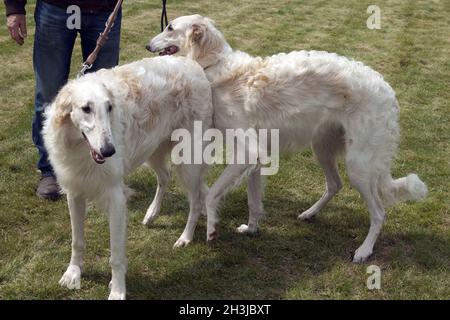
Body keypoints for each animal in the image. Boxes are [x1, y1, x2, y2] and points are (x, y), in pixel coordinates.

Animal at [43, 56, 212, 298]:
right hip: (154, 151)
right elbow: (77, 241)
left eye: (109, 107)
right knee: (169, 178)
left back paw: (185, 237)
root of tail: (190, 61)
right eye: (86, 108)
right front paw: (73, 273)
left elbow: (116, 255)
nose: (108, 151)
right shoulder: (75, 192)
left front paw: (117, 290)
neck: (79, 147)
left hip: (186, 159)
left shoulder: (115, 197)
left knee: (195, 199)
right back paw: (152, 214)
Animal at [148, 14, 428, 262]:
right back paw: (309, 214)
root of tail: (387, 90)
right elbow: (253, 200)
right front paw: (252, 228)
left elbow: (211, 195)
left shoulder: (248, 151)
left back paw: (364, 251)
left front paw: (212, 229)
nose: (147, 45)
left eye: (170, 27)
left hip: (358, 164)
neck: (213, 65)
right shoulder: (256, 158)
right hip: (323, 148)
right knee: (335, 184)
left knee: (379, 213)